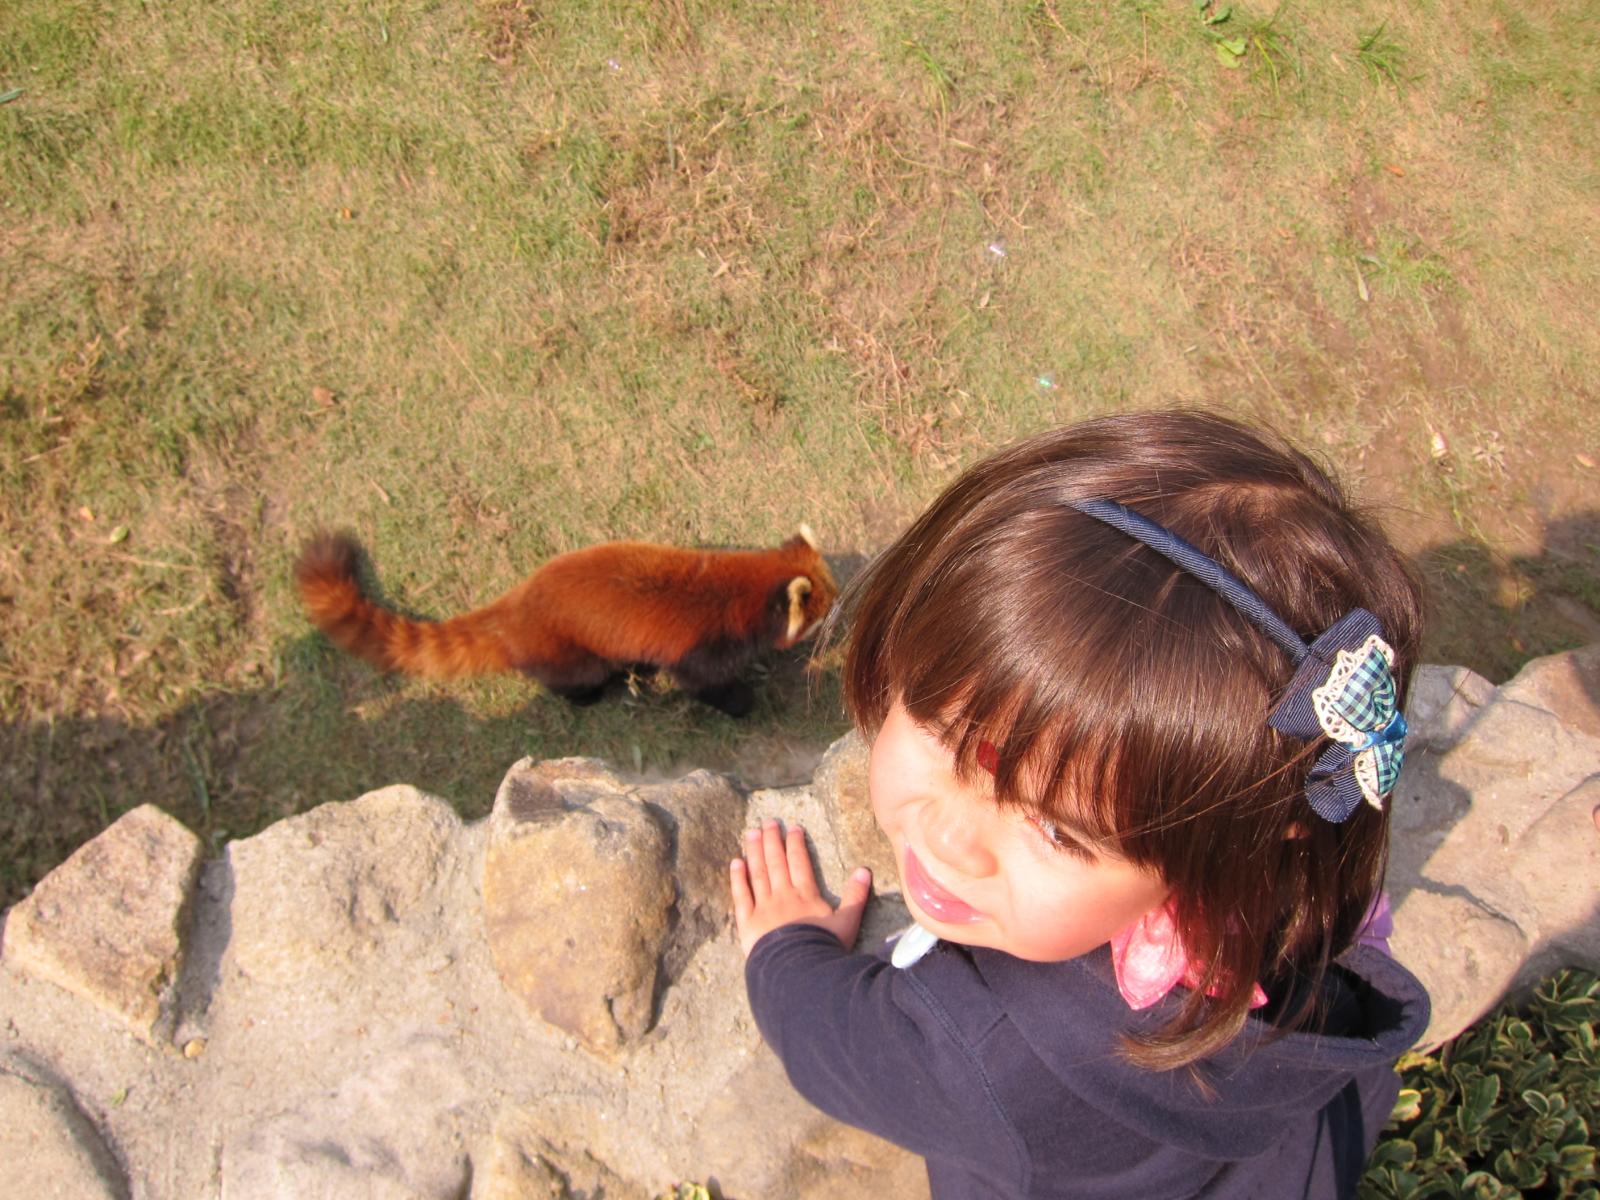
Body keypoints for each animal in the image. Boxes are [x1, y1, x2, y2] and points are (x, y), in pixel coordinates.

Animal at [294, 524, 838, 713]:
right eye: (827, 610)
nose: (840, 614)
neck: (742, 585)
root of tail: (514, 607)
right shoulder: (706, 643)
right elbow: (704, 683)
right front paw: (747, 703)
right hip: (567, 650)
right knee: (576, 677)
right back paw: (594, 694)